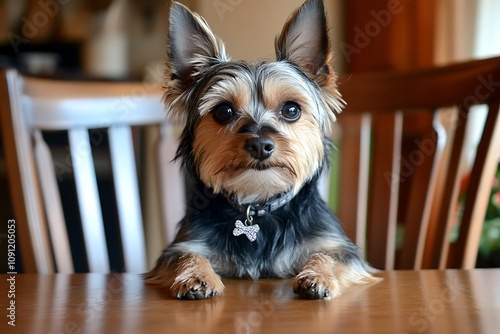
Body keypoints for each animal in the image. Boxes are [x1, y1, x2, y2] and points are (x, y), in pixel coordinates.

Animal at [146, 0, 376, 300]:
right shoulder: (184, 244)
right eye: (223, 111)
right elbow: (187, 256)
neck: (258, 204)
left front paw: (317, 277)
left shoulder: (338, 246)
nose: (259, 144)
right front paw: (196, 276)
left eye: (291, 109)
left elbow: (329, 256)